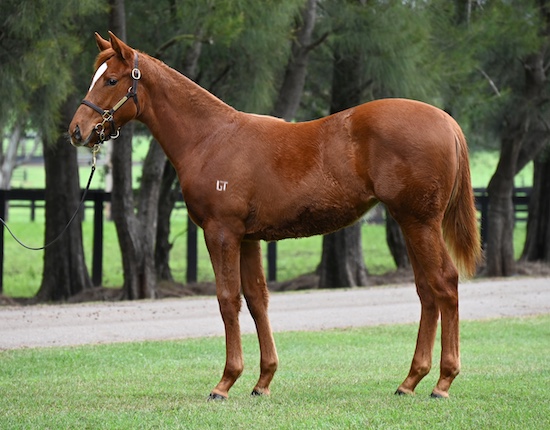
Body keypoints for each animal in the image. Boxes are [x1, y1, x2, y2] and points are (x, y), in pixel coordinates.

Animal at [69, 32, 484, 400]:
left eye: (111, 79)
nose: (77, 130)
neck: (210, 138)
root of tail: (447, 121)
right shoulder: (248, 238)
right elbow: (257, 300)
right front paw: (262, 381)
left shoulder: (221, 233)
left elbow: (227, 299)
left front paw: (225, 382)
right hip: (411, 224)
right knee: (426, 291)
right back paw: (410, 380)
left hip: (420, 223)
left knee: (444, 283)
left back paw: (443, 382)